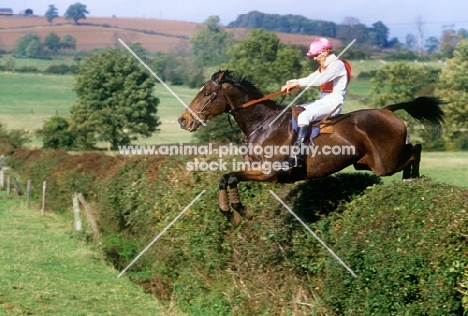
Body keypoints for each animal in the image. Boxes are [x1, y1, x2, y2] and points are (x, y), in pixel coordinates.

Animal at [177, 69, 444, 227]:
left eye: (208, 93)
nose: (183, 120)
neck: (263, 124)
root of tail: (388, 111)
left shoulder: (269, 173)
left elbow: (231, 177)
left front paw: (241, 210)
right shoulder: (254, 169)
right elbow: (225, 178)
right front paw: (230, 213)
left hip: (384, 163)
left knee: (416, 150)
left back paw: (412, 179)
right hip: (366, 163)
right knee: (413, 150)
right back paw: (409, 180)